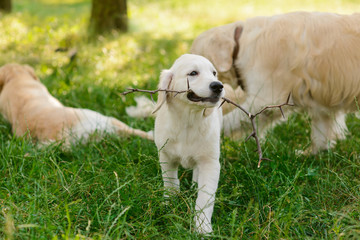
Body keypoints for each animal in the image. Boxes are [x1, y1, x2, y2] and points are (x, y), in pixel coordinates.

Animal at [153, 53, 224, 233]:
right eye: (193, 73)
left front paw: (202, 227)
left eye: (214, 73)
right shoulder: (166, 156)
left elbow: (205, 197)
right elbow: (170, 183)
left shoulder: (210, 162)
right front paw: (169, 204)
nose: (218, 86)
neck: (188, 121)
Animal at [188, 11, 360, 153]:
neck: (242, 42)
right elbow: (322, 130)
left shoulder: (265, 100)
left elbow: (228, 120)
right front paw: (312, 155)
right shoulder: (321, 100)